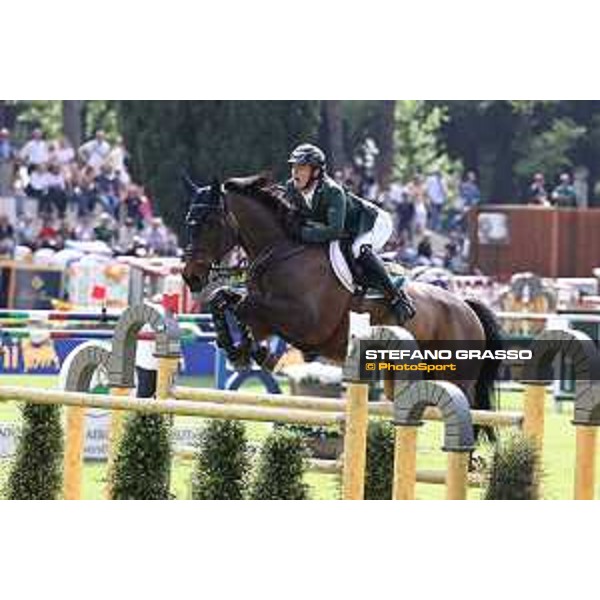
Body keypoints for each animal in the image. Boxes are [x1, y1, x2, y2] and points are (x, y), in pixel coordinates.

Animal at [182, 176, 502, 424]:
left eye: (209, 223)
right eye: (189, 223)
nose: (190, 277)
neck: (281, 251)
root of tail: (466, 307)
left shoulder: (307, 324)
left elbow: (245, 306)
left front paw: (252, 350)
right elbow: (225, 300)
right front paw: (238, 347)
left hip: (457, 377)